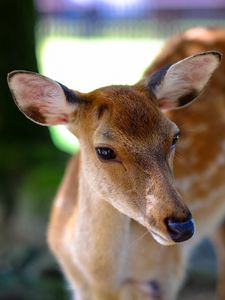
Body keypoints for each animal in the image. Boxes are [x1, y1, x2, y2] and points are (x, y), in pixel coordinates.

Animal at [7, 48, 221, 298]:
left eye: (174, 136)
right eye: (104, 150)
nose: (182, 227)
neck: (102, 281)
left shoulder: (166, 276)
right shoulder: (77, 285)